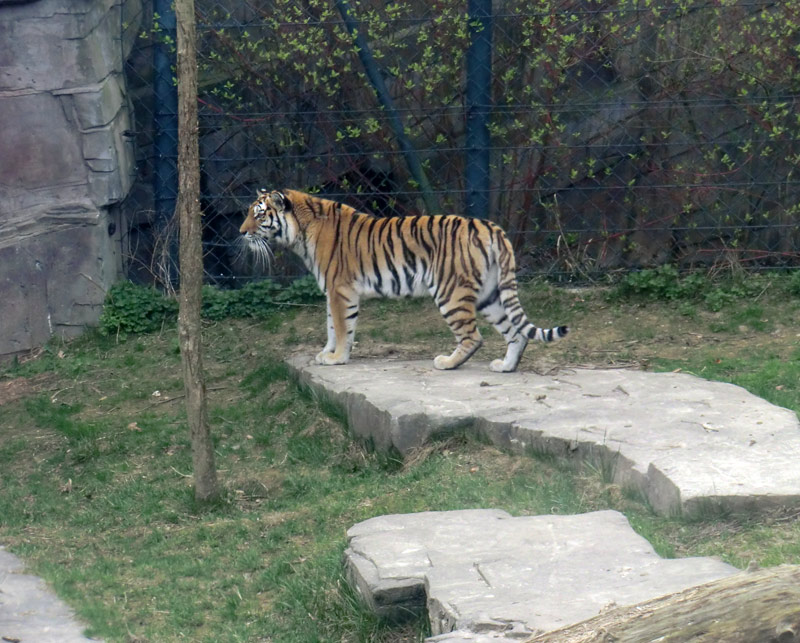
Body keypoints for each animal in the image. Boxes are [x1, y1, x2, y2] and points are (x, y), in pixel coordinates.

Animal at [239, 190, 568, 372]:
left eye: (259, 215)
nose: (241, 232)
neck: (301, 231)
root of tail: (491, 227)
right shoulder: (331, 292)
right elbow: (332, 326)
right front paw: (327, 353)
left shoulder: (340, 290)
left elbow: (342, 327)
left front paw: (337, 359)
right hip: (490, 294)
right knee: (516, 333)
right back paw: (505, 367)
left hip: (450, 292)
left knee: (473, 337)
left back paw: (447, 363)